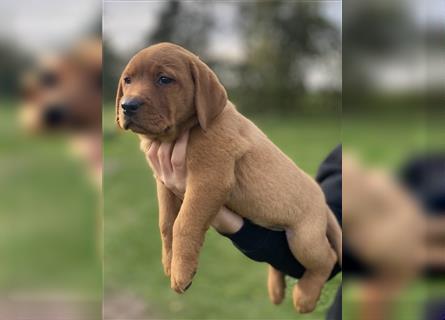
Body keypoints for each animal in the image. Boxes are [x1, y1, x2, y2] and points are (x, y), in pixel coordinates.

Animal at [116, 42, 342, 312]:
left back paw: (305, 296)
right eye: (127, 80)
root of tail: (322, 200)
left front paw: (181, 272)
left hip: (304, 240)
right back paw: (276, 289)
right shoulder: (164, 183)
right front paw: (169, 262)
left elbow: (184, 223)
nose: (127, 105)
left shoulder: (208, 180)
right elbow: (166, 224)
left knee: (327, 258)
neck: (181, 133)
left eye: (164, 79)